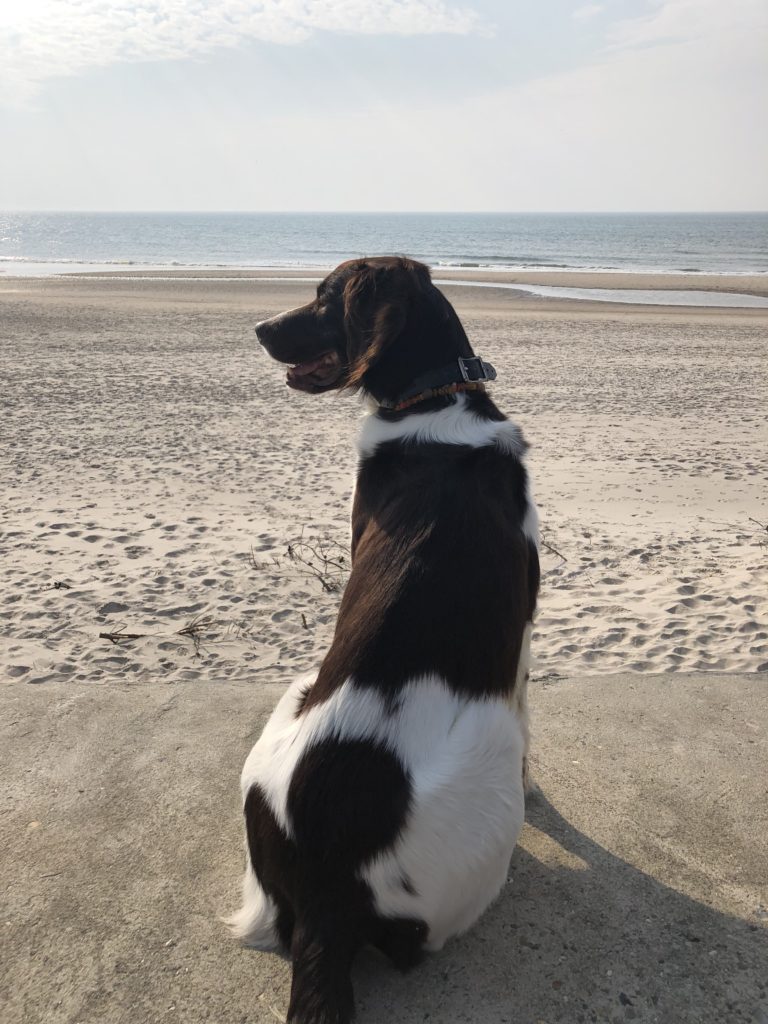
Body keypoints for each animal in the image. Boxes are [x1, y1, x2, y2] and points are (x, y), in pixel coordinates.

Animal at [228, 256, 540, 1024]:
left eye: (325, 297)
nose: (259, 327)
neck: (433, 397)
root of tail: (327, 897)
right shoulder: (524, 623)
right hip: (485, 760)